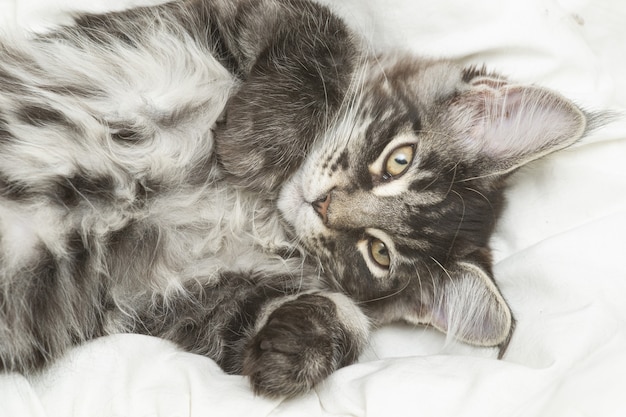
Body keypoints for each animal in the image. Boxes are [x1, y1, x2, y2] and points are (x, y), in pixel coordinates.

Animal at [0, 0, 588, 396]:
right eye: (399, 160)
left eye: (379, 253)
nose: (324, 206)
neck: (259, 214)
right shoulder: (233, 12)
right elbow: (319, 38)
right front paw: (253, 145)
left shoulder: (166, 300)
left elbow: (316, 322)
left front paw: (296, 348)